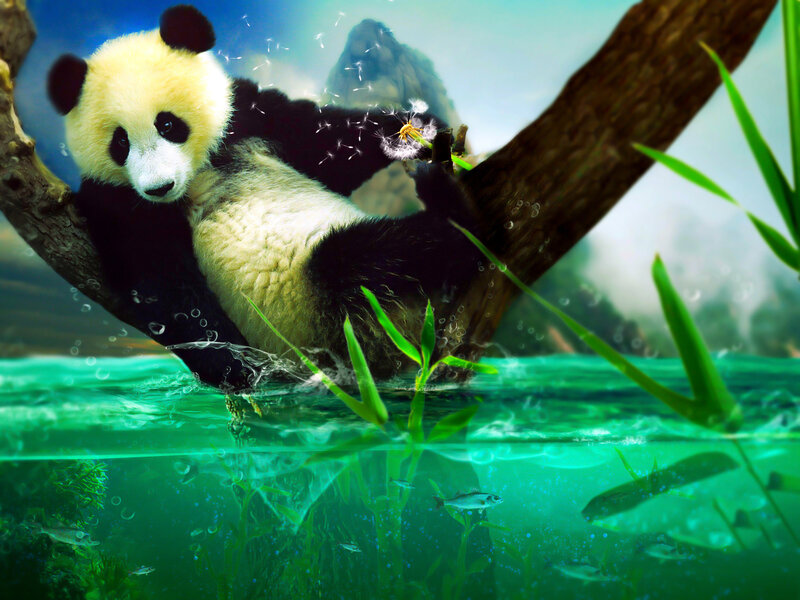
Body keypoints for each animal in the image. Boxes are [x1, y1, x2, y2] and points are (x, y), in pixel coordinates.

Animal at [47, 5, 480, 389]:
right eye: (120, 143)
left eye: (167, 124)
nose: (159, 187)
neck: (200, 170)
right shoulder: (117, 199)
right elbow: (161, 283)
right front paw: (231, 365)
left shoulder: (249, 117)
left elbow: (326, 139)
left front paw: (418, 131)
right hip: (320, 306)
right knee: (370, 258)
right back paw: (455, 214)